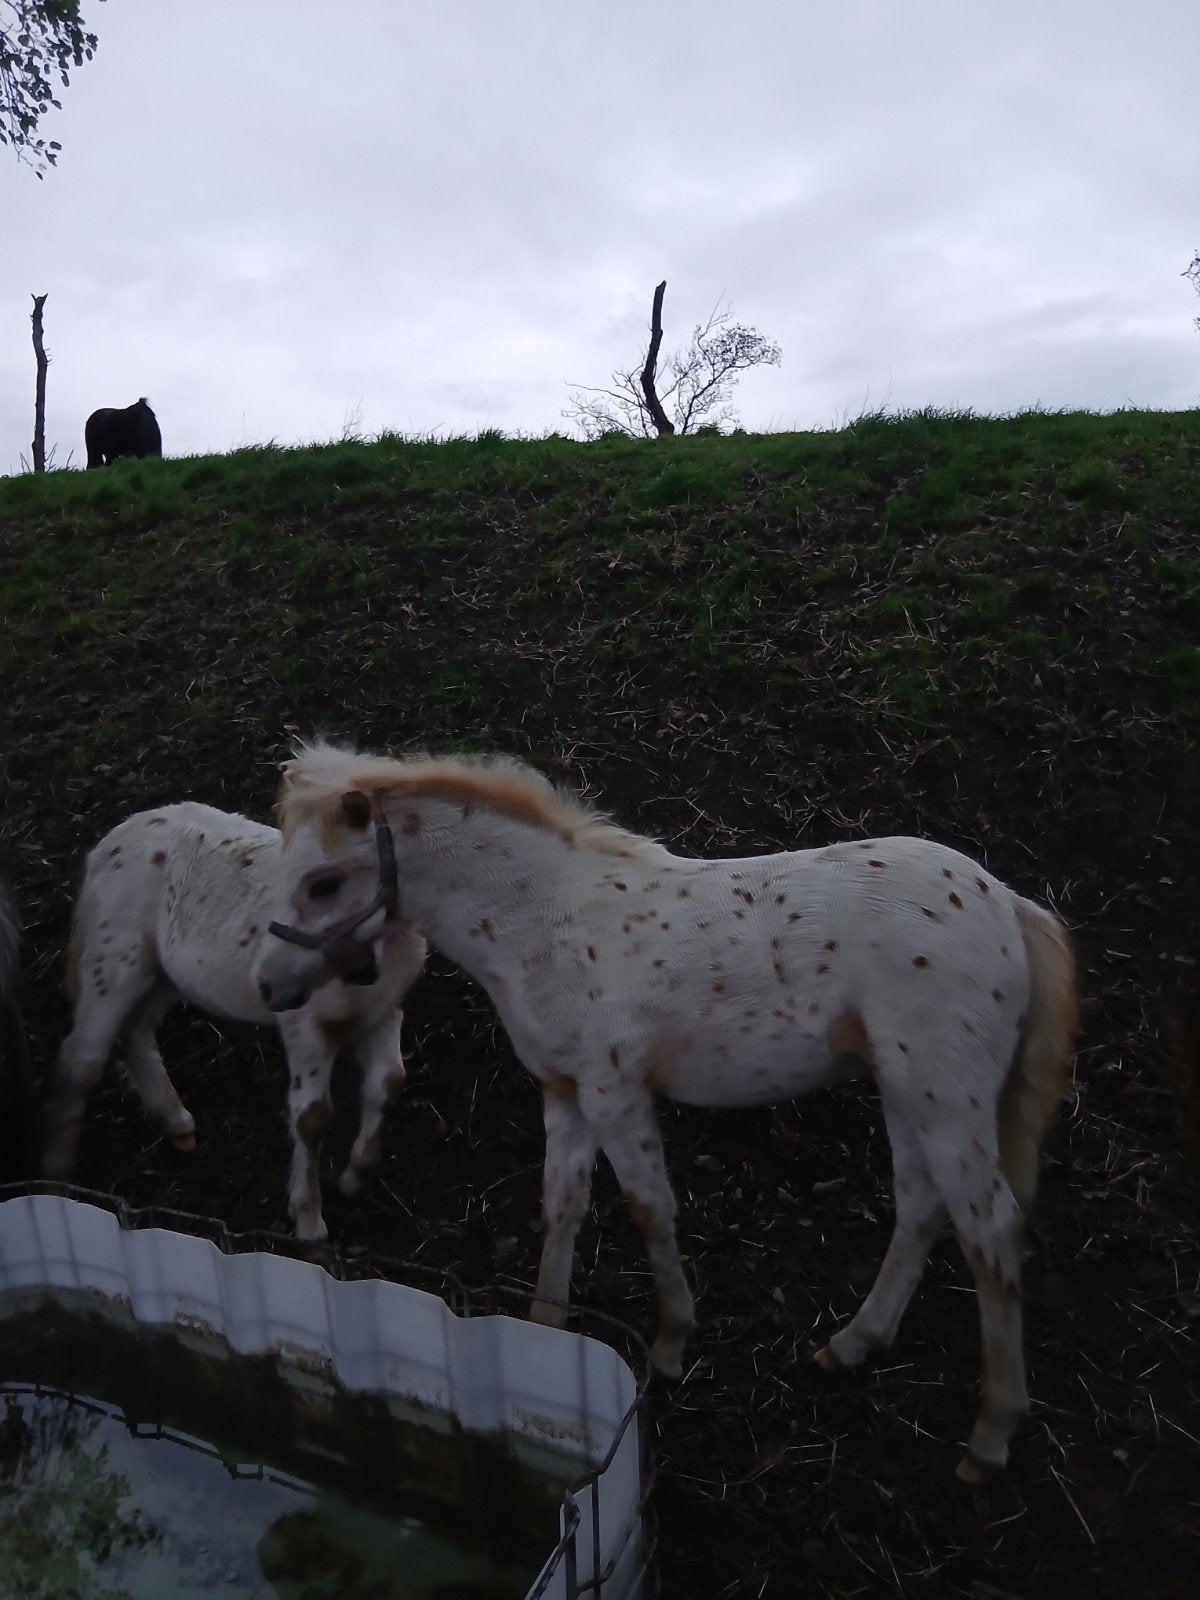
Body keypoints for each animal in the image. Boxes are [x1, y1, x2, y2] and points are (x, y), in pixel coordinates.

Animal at [41, 802, 426, 1240]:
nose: (361, 971)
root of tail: (107, 845)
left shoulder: (381, 1012)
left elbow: (389, 1080)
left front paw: (355, 1175)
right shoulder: (305, 1028)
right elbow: (312, 1119)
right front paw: (309, 1223)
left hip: (166, 975)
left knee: (136, 1031)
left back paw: (177, 1124)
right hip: (114, 965)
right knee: (81, 1059)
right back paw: (57, 1178)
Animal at [254, 741, 1078, 1483]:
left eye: (324, 883)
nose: (269, 986)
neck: (546, 920)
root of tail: (1008, 904)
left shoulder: (615, 1092)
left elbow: (649, 1207)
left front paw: (672, 1344)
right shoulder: (566, 1092)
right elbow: (562, 1205)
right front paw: (545, 1329)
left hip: (947, 1103)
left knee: (990, 1233)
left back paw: (989, 1437)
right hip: (910, 1099)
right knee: (920, 1212)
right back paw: (852, 1345)